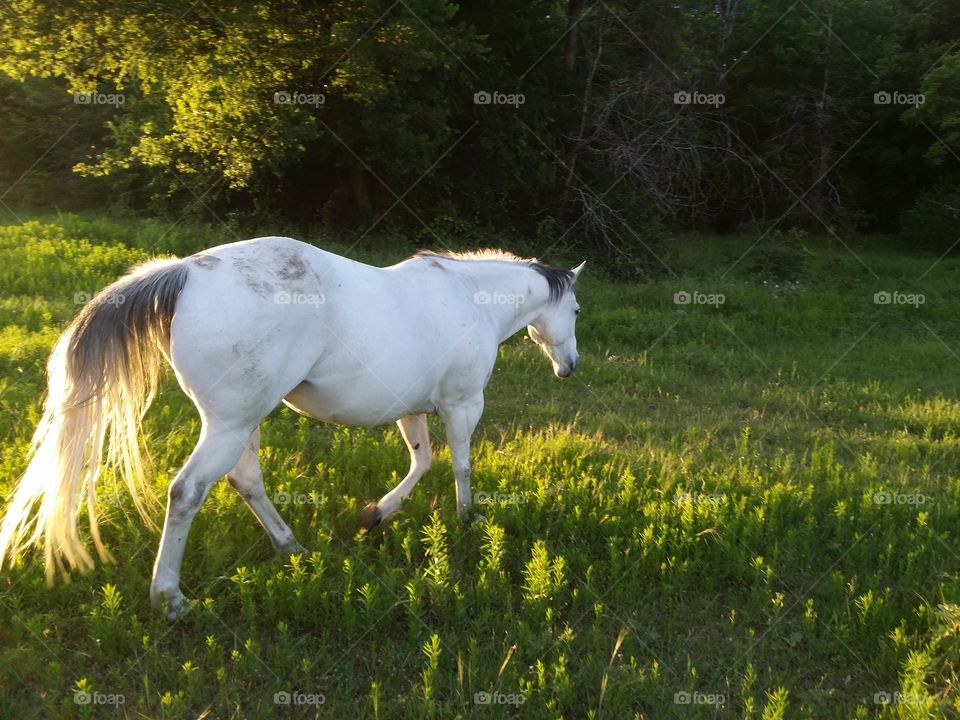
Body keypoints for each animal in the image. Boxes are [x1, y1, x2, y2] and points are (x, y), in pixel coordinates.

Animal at [0, 238, 584, 620]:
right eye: (576, 309)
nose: (570, 367)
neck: (468, 297)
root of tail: (186, 271)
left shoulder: (412, 409)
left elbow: (423, 461)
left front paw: (376, 514)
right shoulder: (462, 405)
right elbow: (460, 465)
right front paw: (466, 522)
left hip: (241, 423)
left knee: (246, 482)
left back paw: (291, 548)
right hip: (230, 425)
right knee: (187, 492)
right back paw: (170, 598)